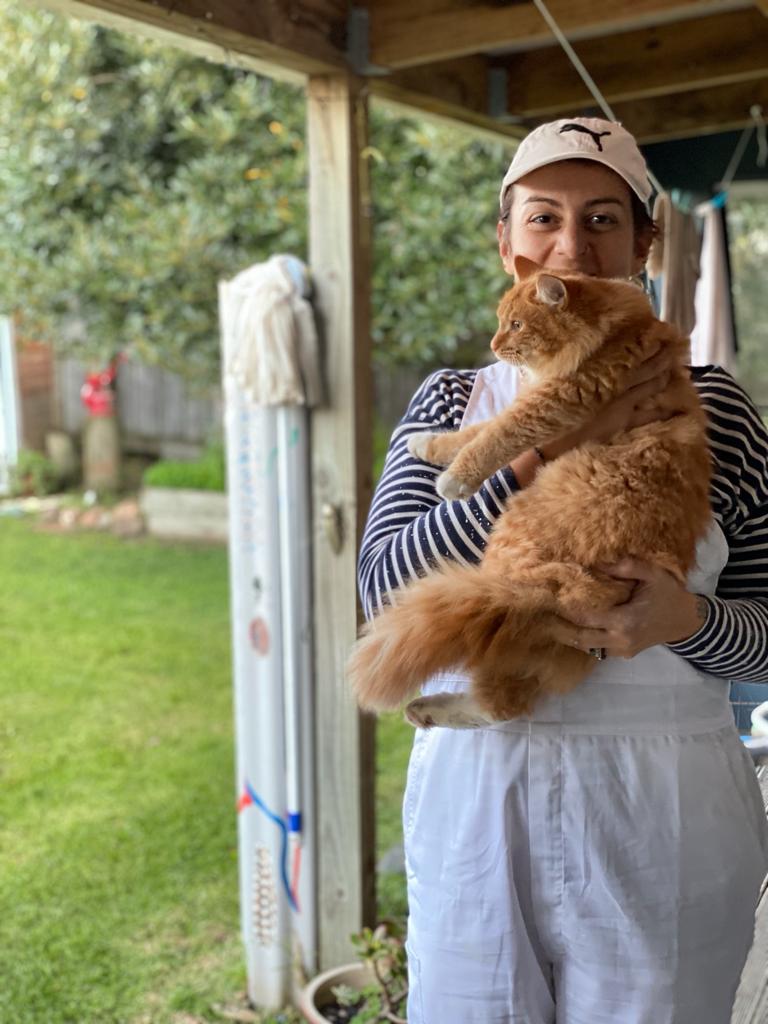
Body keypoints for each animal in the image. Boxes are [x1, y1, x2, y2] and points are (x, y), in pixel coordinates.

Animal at [348, 262, 708, 729]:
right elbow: (473, 432)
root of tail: (541, 595)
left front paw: (453, 479)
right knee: (504, 703)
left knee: (497, 693)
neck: (617, 330)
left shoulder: (558, 398)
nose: (494, 344)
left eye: (516, 325)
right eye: (502, 322)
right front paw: (427, 444)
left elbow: (496, 434)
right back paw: (425, 709)